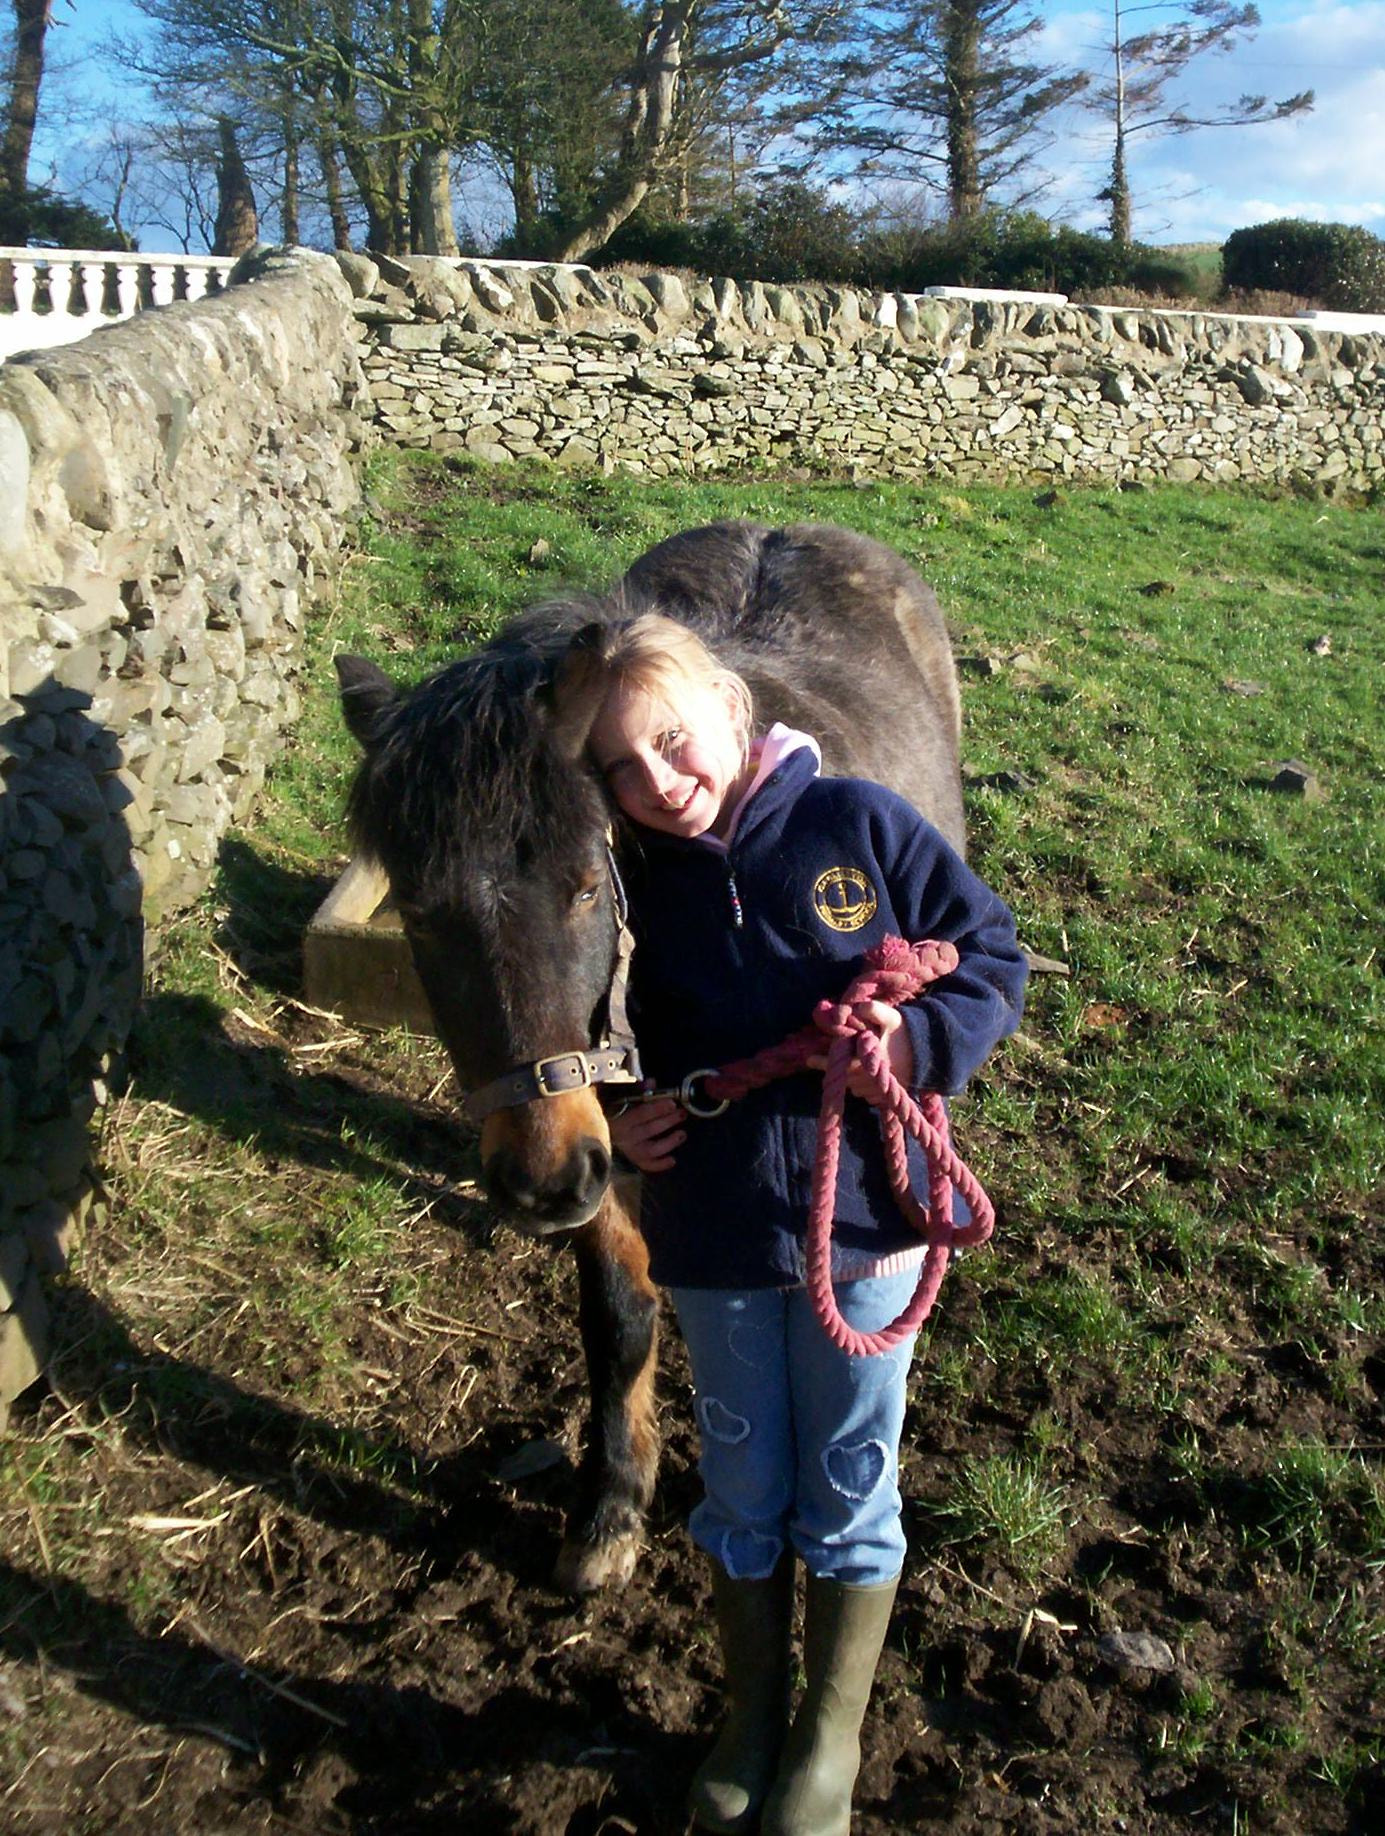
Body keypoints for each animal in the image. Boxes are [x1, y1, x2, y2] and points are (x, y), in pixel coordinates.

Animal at [334, 521, 962, 1593]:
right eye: (415, 911)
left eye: (588, 884)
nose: (540, 1181)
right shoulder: (611, 1151)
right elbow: (620, 1318)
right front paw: (611, 1508)